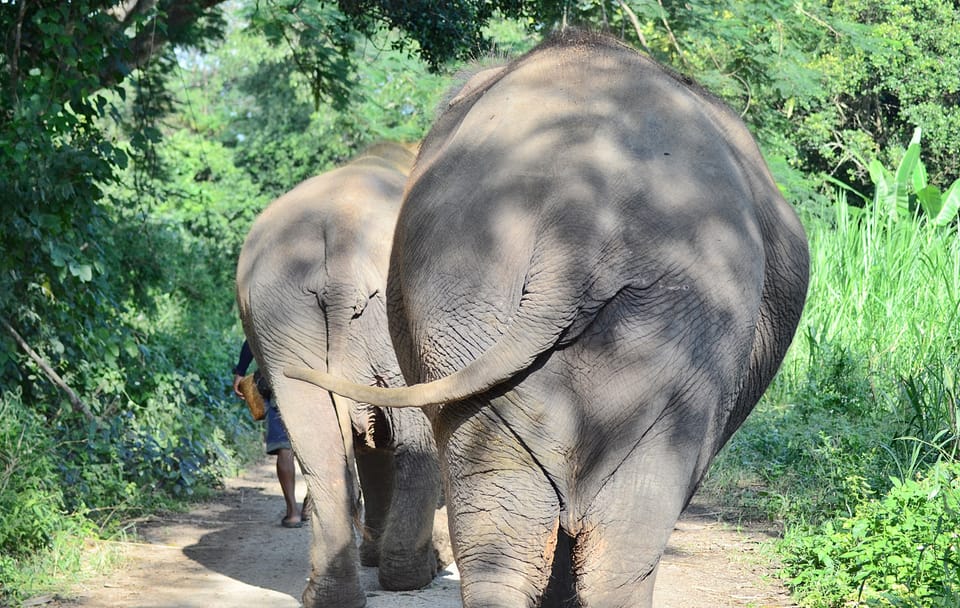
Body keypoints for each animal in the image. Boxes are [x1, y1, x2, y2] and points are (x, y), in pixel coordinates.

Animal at [235, 141, 443, 608]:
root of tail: (343, 253)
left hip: (282, 315)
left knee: (320, 445)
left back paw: (331, 593)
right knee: (413, 437)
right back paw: (414, 575)